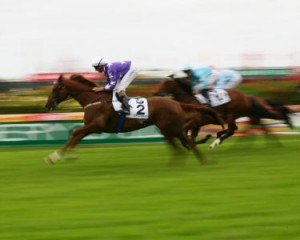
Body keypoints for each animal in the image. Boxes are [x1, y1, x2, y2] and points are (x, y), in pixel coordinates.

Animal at [44, 74, 223, 164]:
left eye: (55, 88)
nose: (47, 105)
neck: (94, 99)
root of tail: (176, 102)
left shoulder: (96, 125)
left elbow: (75, 132)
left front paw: (54, 157)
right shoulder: (91, 126)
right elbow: (76, 136)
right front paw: (68, 155)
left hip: (171, 129)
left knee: (187, 143)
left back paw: (201, 161)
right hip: (169, 130)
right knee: (183, 145)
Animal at [154, 76, 292, 149]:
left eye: (166, 83)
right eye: (160, 82)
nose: (155, 93)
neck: (189, 100)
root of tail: (246, 97)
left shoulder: (196, 123)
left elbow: (189, 135)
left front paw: (203, 140)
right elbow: (189, 136)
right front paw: (197, 142)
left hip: (232, 114)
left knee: (232, 129)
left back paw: (215, 142)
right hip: (243, 115)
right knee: (239, 129)